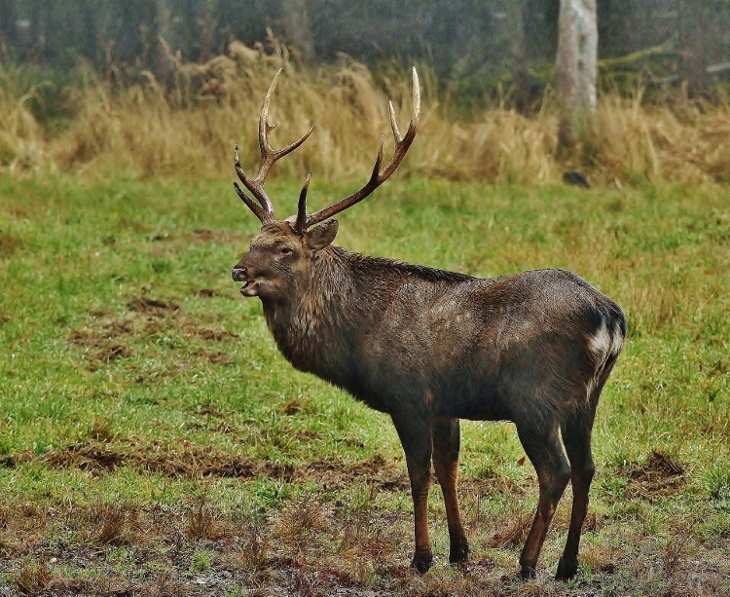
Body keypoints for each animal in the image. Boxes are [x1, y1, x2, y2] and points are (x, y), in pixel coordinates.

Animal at [230, 67, 624, 580]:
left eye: (285, 250)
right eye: (254, 239)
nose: (239, 271)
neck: (360, 337)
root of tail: (610, 318)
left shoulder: (410, 395)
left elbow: (418, 474)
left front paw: (422, 557)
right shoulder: (445, 404)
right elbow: (448, 469)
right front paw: (459, 550)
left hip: (535, 398)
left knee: (555, 472)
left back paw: (527, 562)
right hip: (585, 399)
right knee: (587, 467)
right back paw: (567, 565)